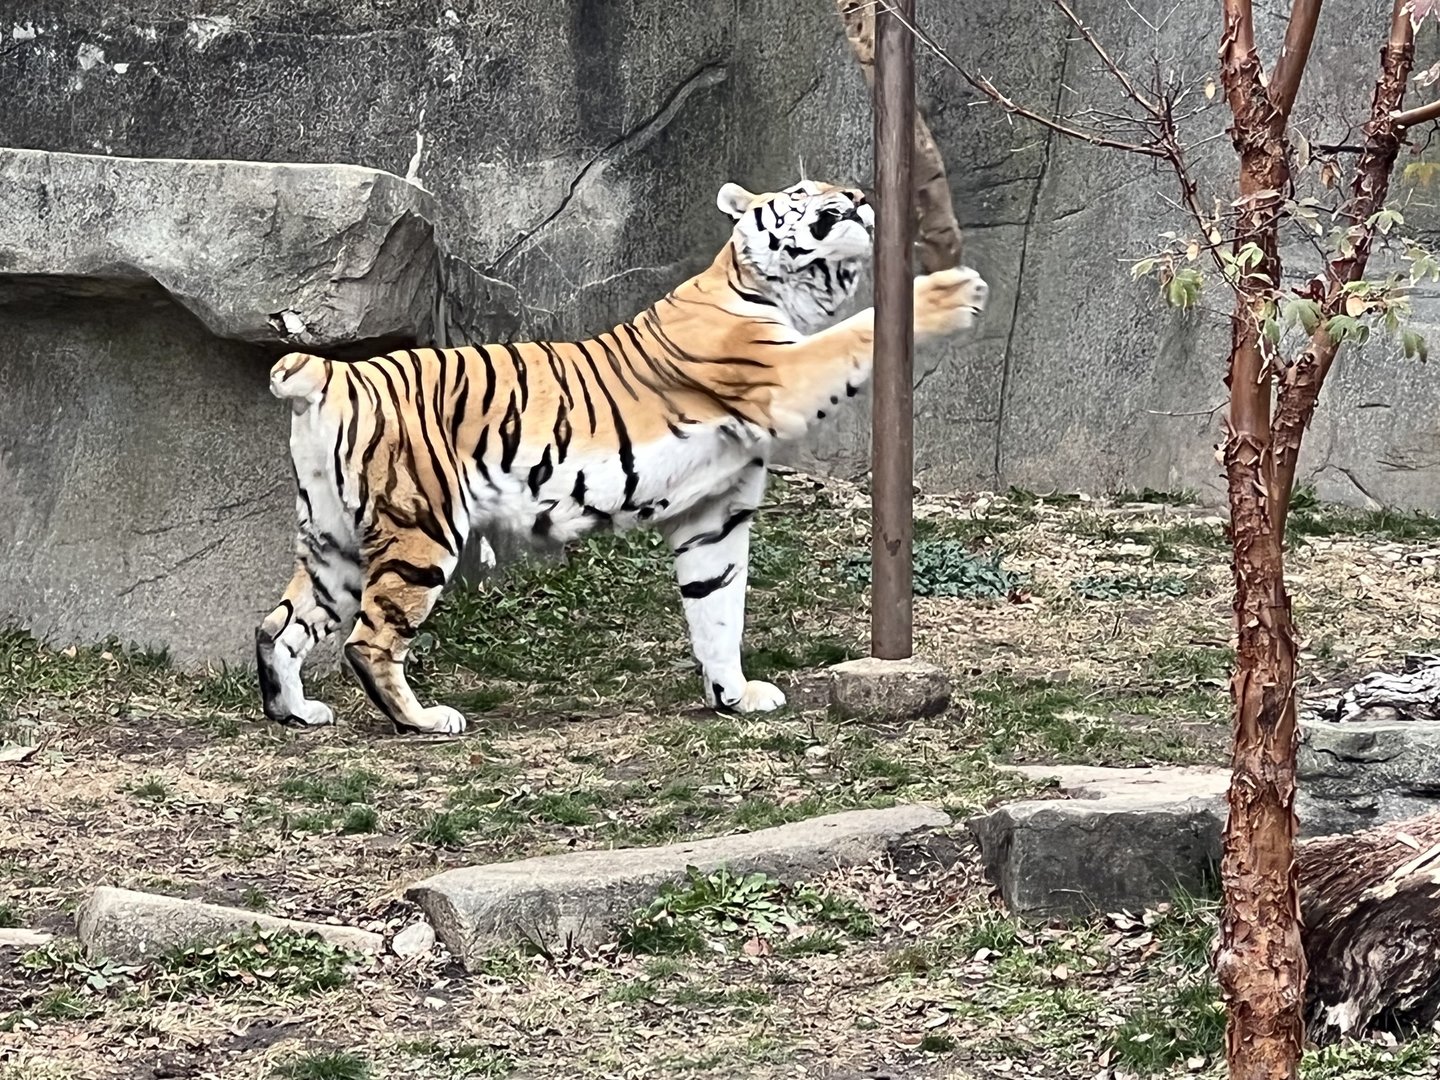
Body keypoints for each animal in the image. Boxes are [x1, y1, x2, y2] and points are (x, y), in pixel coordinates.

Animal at [256, 178, 989, 735]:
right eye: (804, 192)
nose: (859, 194)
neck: (770, 288)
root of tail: (329, 371)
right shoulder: (784, 376)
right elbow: (859, 332)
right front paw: (952, 292)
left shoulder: (715, 511)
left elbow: (717, 608)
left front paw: (734, 696)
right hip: (420, 526)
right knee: (369, 641)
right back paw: (425, 720)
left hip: (332, 540)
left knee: (278, 626)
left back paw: (295, 711)